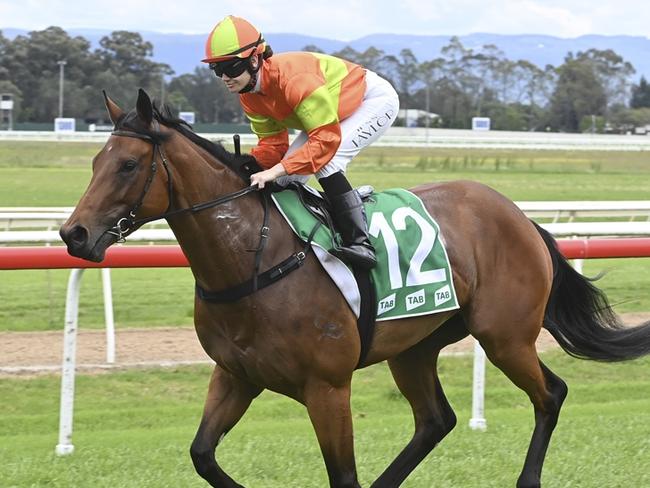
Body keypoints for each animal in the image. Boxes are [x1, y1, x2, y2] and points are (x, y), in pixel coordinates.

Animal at [59, 88, 648, 488]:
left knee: (551, 394)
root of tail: (520, 216)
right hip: (415, 346)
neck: (252, 260)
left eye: (128, 164)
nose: (74, 234)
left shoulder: (327, 387)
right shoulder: (236, 374)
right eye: (93, 161)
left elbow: (341, 476)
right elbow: (202, 454)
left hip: (504, 336)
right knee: (436, 420)